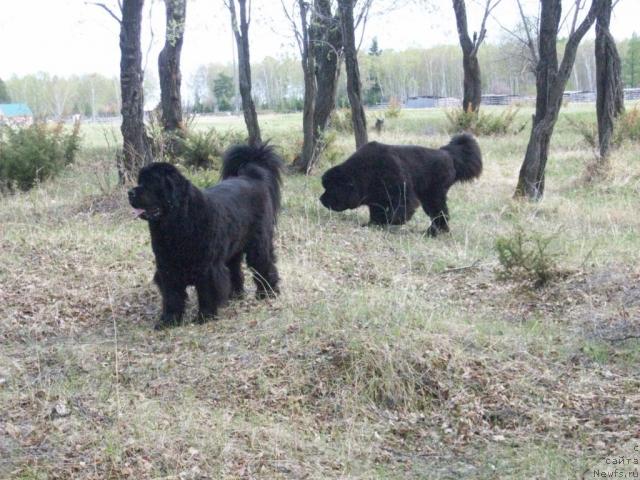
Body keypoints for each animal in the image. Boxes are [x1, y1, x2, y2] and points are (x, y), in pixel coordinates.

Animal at [129, 143, 282, 330]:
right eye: (140, 181)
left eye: (151, 182)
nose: (130, 193)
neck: (178, 223)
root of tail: (253, 177)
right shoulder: (167, 267)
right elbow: (172, 296)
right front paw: (168, 320)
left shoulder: (207, 267)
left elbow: (207, 291)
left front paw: (205, 316)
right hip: (232, 248)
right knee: (234, 269)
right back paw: (235, 295)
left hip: (258, 244)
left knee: (264, 265)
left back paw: (267, 292)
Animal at [320, 134, 480, 235]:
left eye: (332, 187)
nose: (321, 199)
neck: (365, 172)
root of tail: (448, 154)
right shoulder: (376, 200)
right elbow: (376, 213)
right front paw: (373, 224)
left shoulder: (402, 195)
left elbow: (398, 211)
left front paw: (389, 221)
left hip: (434, 196)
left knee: (440, 213)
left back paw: (434, 232)